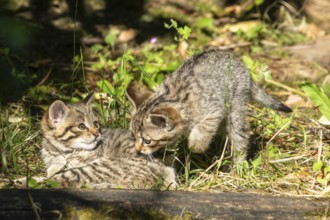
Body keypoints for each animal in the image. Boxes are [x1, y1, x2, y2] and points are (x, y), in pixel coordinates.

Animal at [40, 93, 177, 189]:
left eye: (95, 124)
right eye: (81, 126)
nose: (97, 134)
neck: (64, 150)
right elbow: (53, 166)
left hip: (99, 168)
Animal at [126, 49, 292, 163]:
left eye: (147, 141)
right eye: (133, 136)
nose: (138, 149)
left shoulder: (215, 110)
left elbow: (202, 129)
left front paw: (196, 145)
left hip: (235, 106)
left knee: (240, 137)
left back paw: (238, 167)